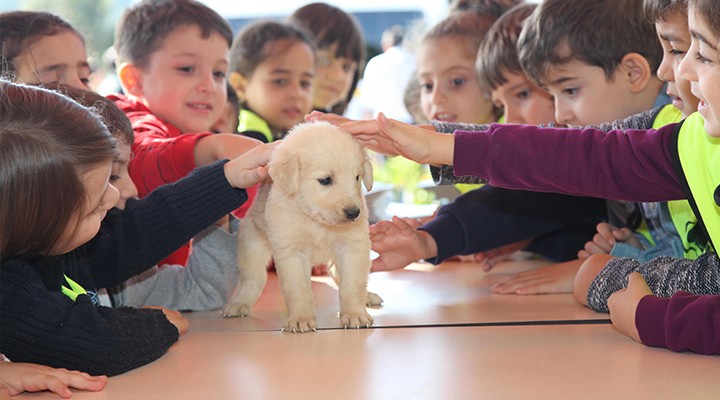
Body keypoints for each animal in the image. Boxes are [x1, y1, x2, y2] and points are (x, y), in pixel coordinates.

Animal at [224, 121, 382, 332]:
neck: (317, 221)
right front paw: (301, 319)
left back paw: (367, 296)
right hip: (251, 245)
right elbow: (298, 290)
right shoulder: (292, 253)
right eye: (325, 180)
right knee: (253, 279)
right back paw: (238, 304)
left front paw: (354, 314)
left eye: (357, 177)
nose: (354, 213)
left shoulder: (352, 247)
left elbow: (352, 284)